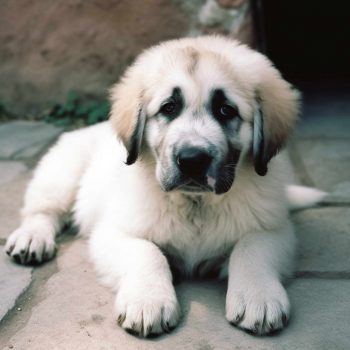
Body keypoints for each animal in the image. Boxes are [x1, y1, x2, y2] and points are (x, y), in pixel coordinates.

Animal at [4, 35, 326, 336]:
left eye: (226, 110)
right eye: (169, 108)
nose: (192, 160)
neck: (196, 205)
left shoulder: (274, 228)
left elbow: (251, 247)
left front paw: (258, 297)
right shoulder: (114, 231)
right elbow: (147, 252)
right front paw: (148, 301)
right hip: (63, 169)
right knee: (43, 210)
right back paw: (31, 238)